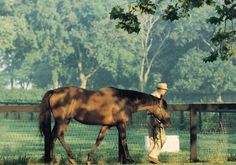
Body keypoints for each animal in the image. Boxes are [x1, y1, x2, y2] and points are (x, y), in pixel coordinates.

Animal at [39, 86, 171, 164]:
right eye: (163, 108)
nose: (169, 122)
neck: (124, 101)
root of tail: (54, 91)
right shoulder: (121, 124)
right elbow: (124, 141)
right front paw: (129, 159)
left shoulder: (106, 125)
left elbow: (99, 140)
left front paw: (89, 158)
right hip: (61, 120)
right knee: (54, 136)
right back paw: (57, 159)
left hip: (66, 120)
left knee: (57, 136)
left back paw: (66, 158)